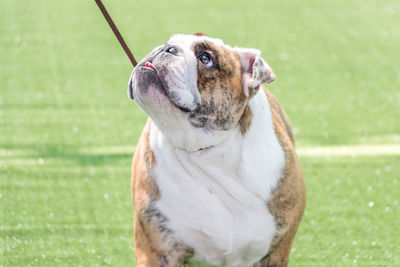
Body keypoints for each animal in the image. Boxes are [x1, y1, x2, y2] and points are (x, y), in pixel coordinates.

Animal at [128, 33, 306, 267]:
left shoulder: (275, 254)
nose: (166, 48)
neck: (207, 152)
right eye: (170, 41)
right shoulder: (157, 250)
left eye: (206, 59)